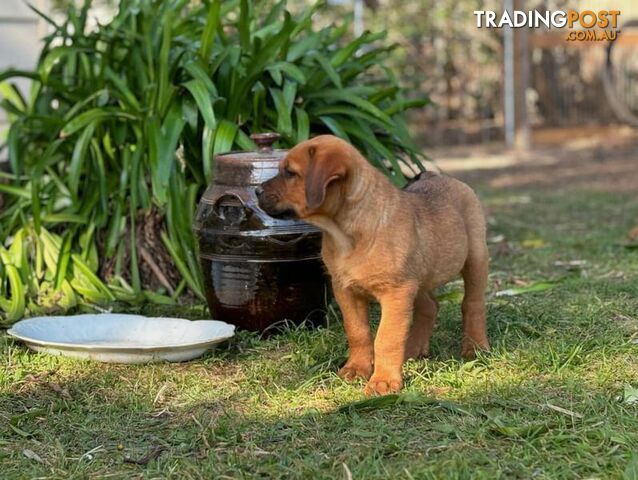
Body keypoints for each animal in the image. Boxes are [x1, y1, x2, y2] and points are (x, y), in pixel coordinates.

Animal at [255, 137, 490, 396]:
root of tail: (433, 175)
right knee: (429, 306)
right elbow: (357, 332)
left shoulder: (396, 293)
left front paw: (384, 381)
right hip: (418, 277)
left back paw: (475, 348)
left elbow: (386, 338)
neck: (344, 235)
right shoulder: (346, 291)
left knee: (472, 304)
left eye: (290, 173)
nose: (256, 191)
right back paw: (413, 351)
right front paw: (356, 369)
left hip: (475, 258)